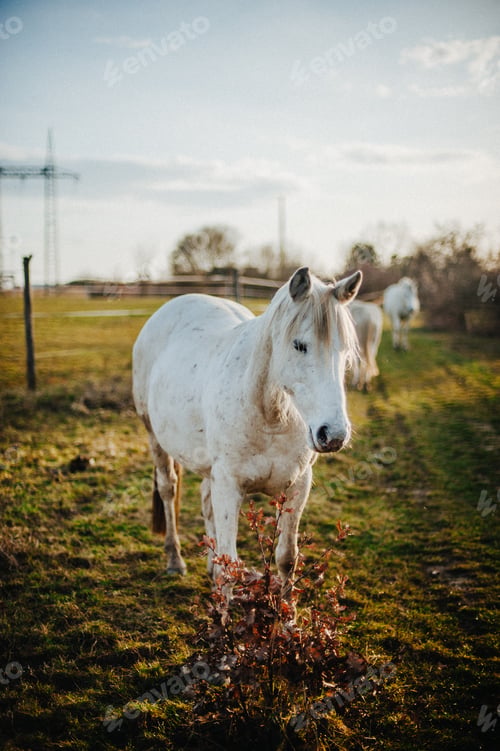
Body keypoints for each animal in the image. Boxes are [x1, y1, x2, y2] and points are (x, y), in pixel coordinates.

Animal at [132, 266, 362, 590]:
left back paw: (209, 566)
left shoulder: (298, 486)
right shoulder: (229, 485)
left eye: (344, 351)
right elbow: (232, 566)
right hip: (155, 438)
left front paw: (286, 607)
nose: (334, 434)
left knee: (205, 499)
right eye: (299, 345)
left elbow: (286, 559)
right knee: (168, 489)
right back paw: (174, 560)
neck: (270, 416)